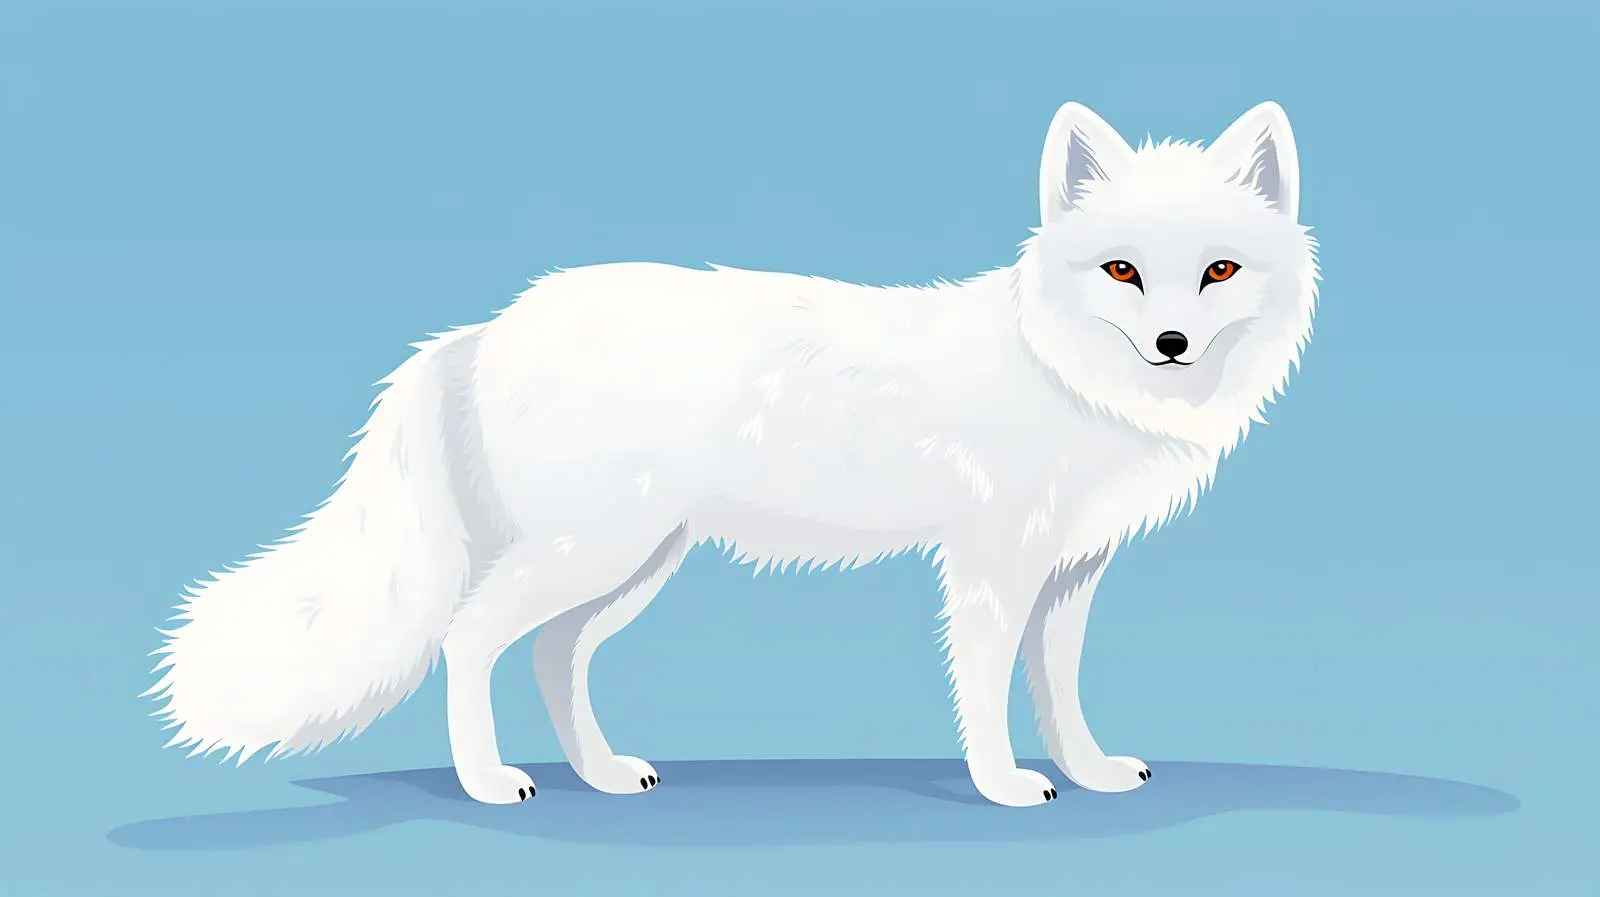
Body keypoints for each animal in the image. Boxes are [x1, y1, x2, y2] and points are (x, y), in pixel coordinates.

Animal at [146, 100, 1319, 808]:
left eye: (1217, 271)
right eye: (1121, 270)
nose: (1171, 344)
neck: (1067, 371)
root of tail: (485, 328)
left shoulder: (1072, 571)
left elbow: (1059, 691)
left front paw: (1089, 770)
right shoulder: (990, 568)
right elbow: (987, 692)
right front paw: (1001, 785)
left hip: (634, 565)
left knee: (552, 657)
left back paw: (602, 772)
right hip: (594, 552)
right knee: (469, 639)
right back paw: (488, 779)